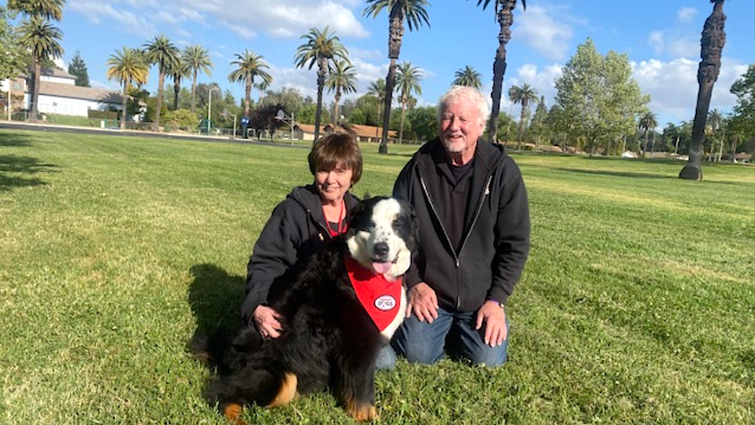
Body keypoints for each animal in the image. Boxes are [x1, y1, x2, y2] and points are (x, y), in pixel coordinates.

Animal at [198, 197, 416, 422]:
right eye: (371, 224)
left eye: (397, 224)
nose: (381, 248)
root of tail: (225, 357)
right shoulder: (360, 343)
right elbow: (363, 393)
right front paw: (369, 418)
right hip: (280, 375)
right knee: (223, 395)